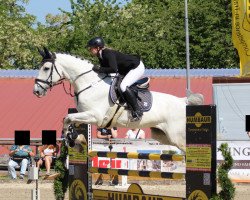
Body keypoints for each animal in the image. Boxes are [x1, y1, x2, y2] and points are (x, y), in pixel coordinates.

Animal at [33, 48, 204, 152]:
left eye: (46, 68)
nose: (36, 91)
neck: (89, 83)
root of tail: (182, 101)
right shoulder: (84, 114)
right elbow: (68, 120)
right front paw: (73, 140)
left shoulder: (95, 116)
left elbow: (68, 117)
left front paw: (71, 139)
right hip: (163, 136)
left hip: (177, 135)